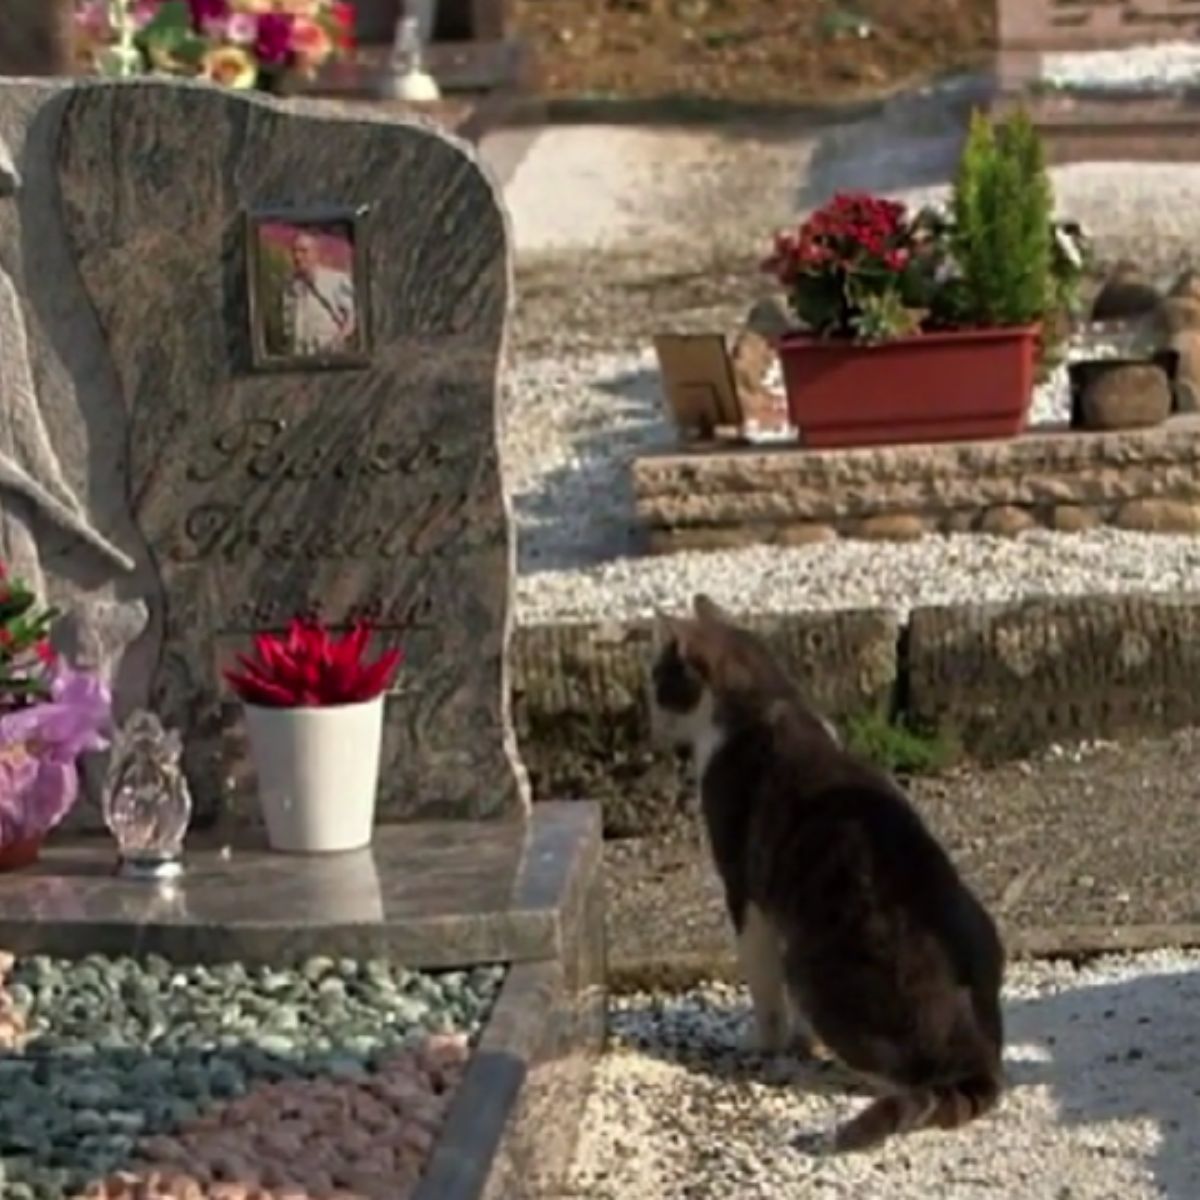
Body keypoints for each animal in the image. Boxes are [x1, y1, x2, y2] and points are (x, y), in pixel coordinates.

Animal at [648, 595, 1003, 1156]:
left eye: (655, 680)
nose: (648, 724)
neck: (767, 701)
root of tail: (979, 1060)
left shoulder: (745, 890)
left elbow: (765, 990)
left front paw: (767, 1042)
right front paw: (797, 1041)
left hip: (816, 968)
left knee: (899, 1078)